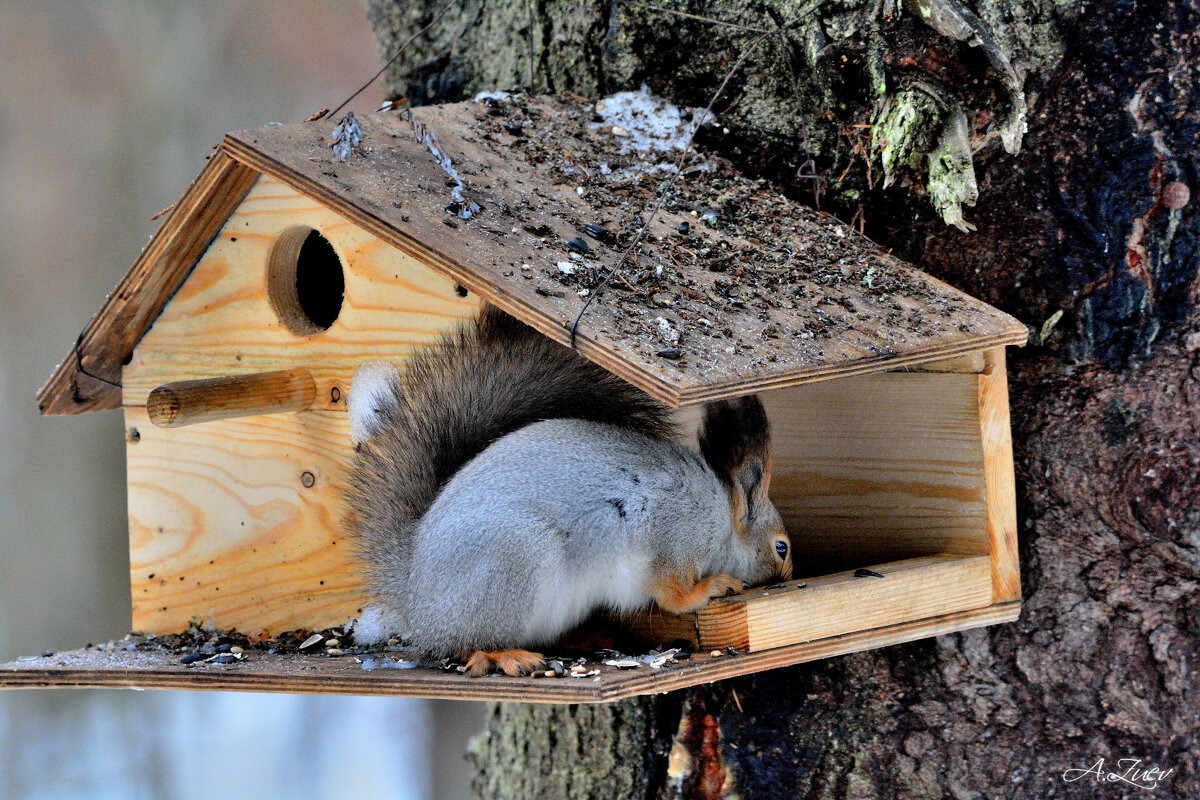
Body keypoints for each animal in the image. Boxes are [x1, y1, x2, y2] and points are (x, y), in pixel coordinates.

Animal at [343, 304, 792, 676]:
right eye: (781, 547)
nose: (786, 579)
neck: (719, 515)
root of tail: (413, 593)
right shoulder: (671, 538)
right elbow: (674, 595)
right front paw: (714, 587)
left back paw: (587, 637)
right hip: (513, 563)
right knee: (465, 645)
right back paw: (506, 656)